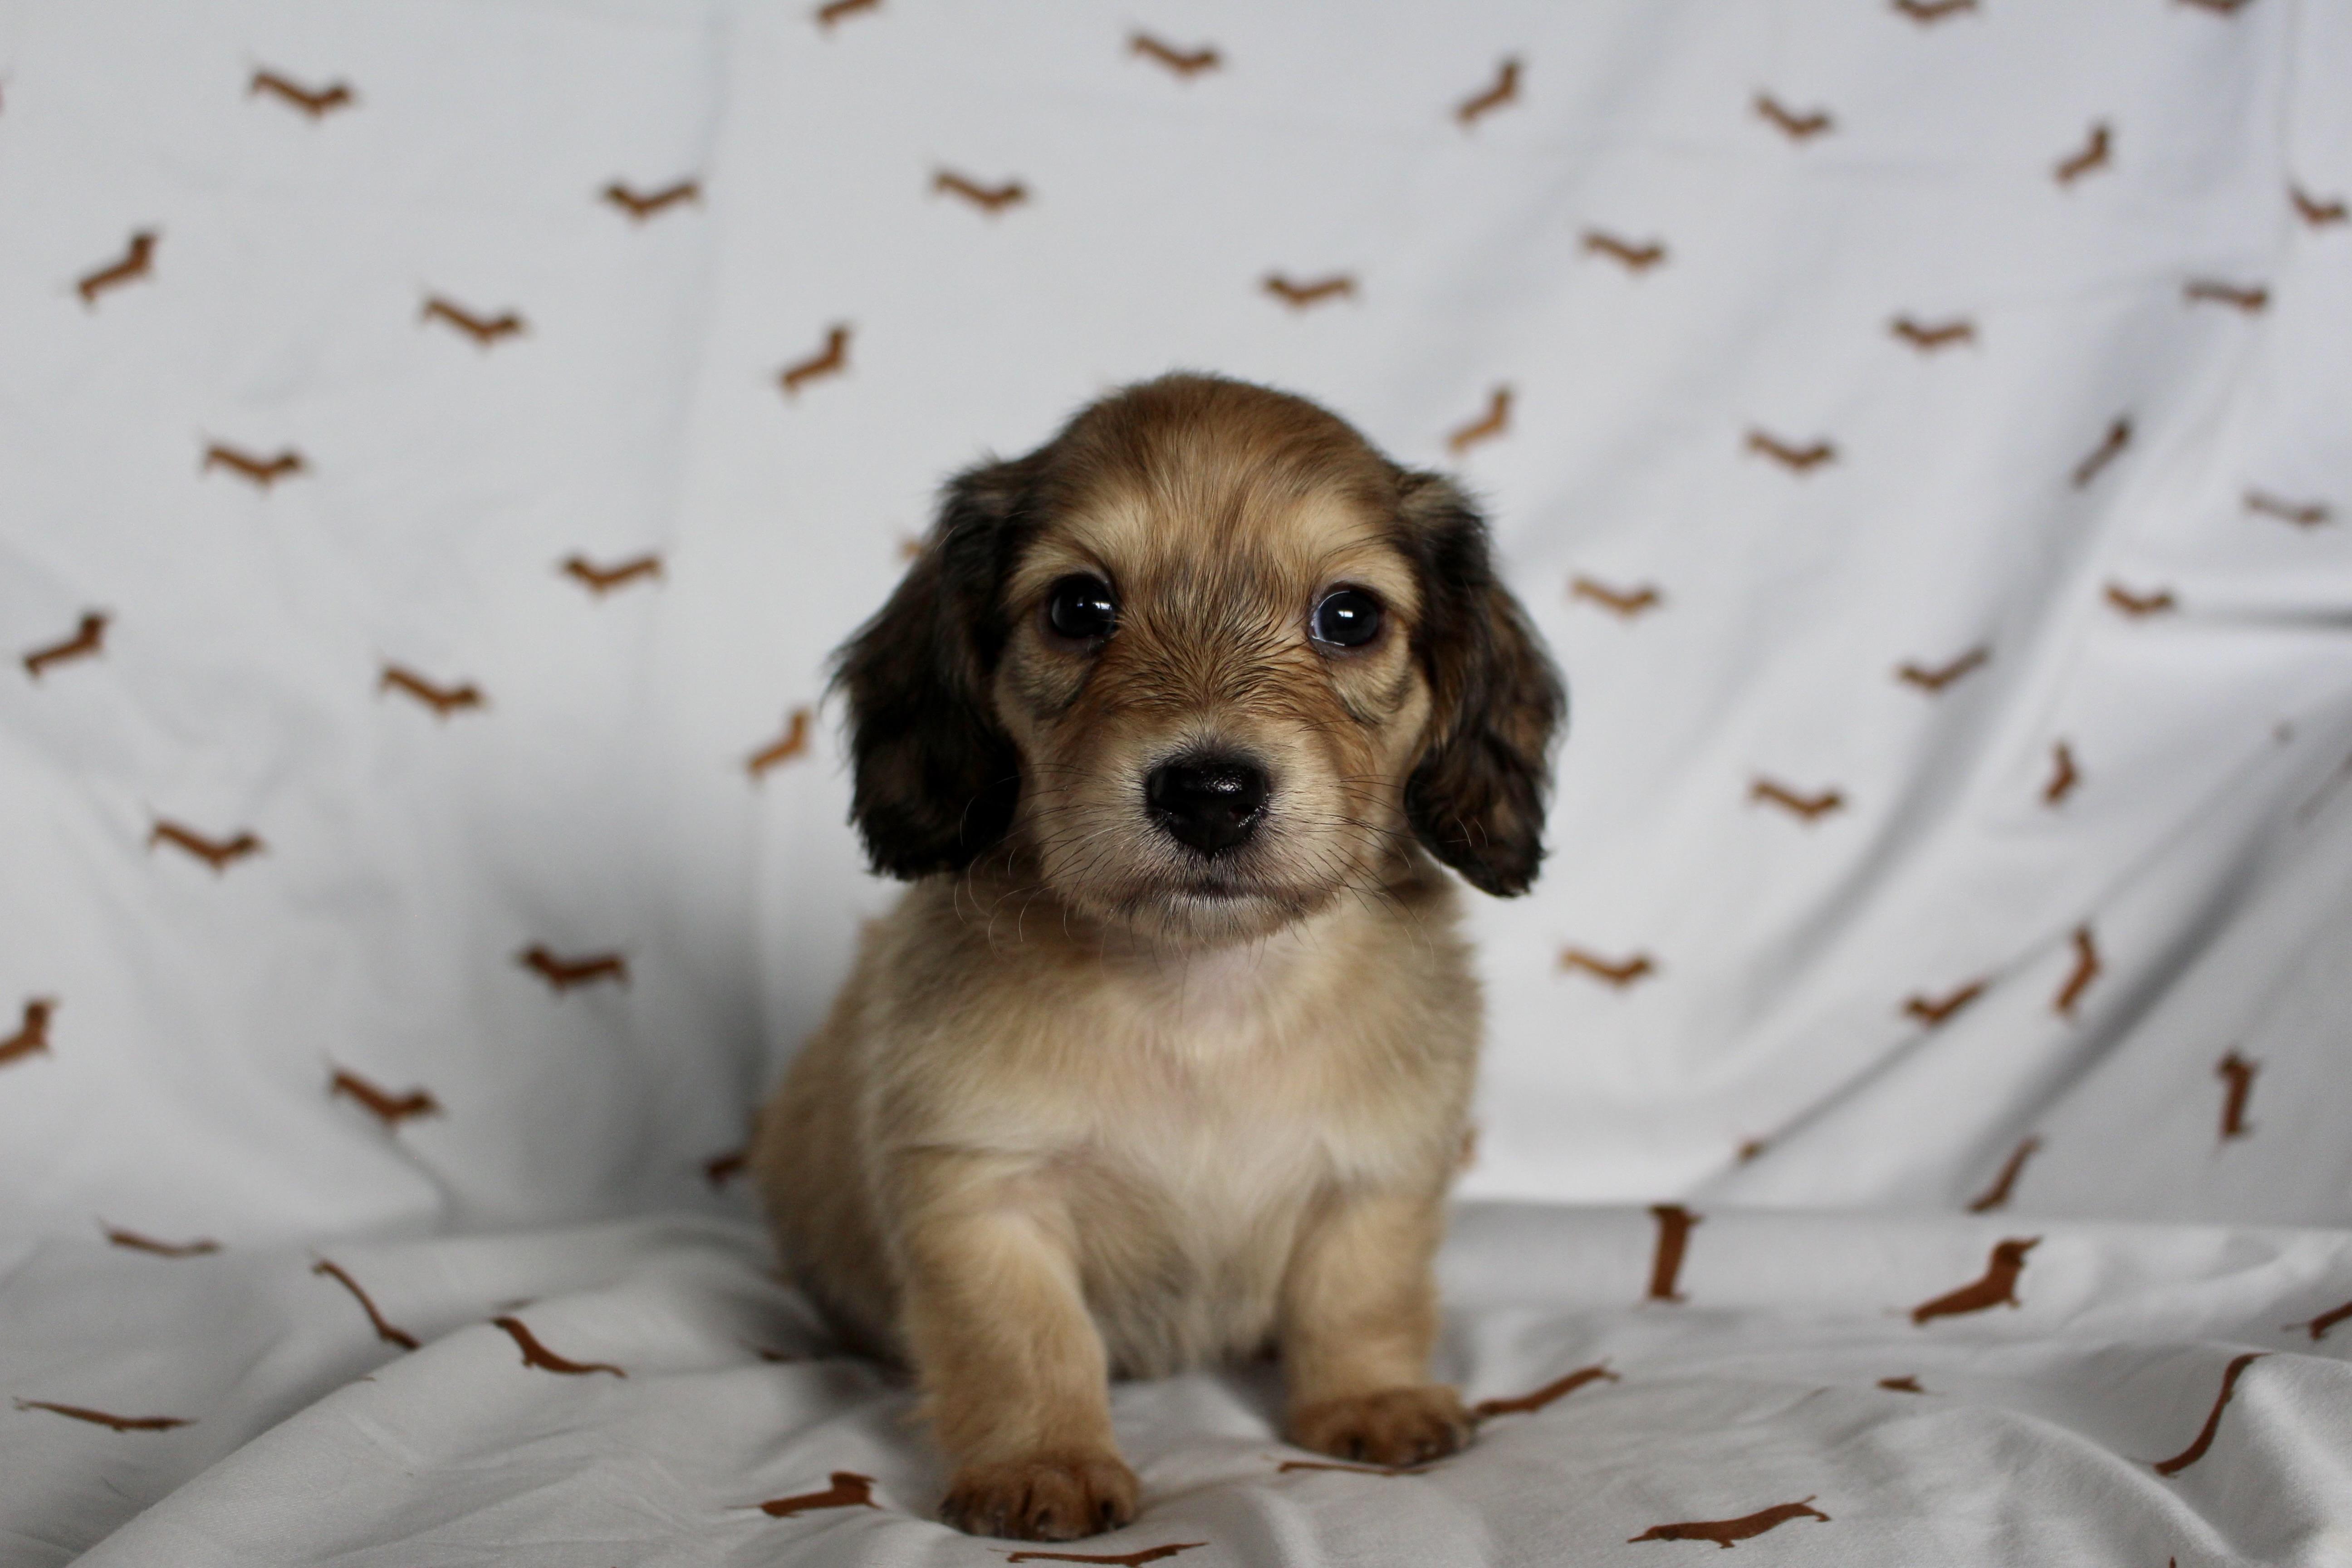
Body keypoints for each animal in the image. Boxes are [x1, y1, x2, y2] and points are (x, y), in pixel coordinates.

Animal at [750, 373, 1564, 1540]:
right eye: (1079, 607)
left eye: (1350, 615)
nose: (1210, 794)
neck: (1200, 997)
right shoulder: (984, 1193)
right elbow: (1025, 1342)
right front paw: (1044, 1459)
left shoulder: (1377, 1170)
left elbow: (1359, 1293)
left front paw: (1368, 1398)